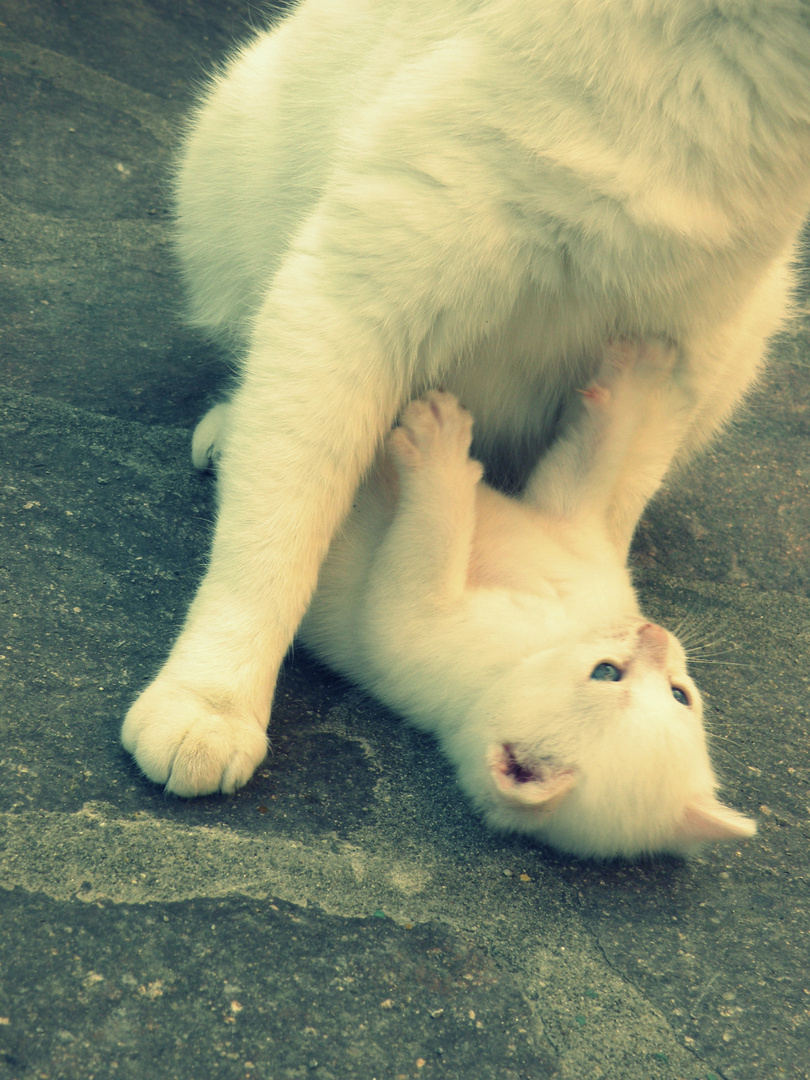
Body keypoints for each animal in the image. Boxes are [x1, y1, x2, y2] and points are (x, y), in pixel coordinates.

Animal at [295, 341, 756, 855]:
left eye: (605, 672)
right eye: (683, 695)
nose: (653, 632)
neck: (547, 639)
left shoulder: (410, 626)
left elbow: (431, 541)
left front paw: (438, 445)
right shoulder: (571, 529)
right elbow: (586, 466)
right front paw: (638, 370)